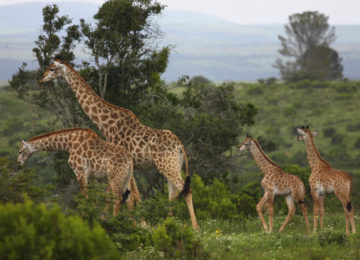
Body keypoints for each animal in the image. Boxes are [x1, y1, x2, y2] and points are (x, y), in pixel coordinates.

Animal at [39, 57, 200, 230]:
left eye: (52, 69)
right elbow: (133, 194)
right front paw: (140, 222)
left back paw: (195, 227)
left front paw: (110, 219)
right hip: (172, 165)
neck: (107, 124)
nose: (41, 79)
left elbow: (116, 193)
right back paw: (169, 223)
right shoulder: (128, 165)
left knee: (185, 189)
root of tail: (180, 145)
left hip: (167, 165)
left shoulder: (116, 162)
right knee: (173, 192)